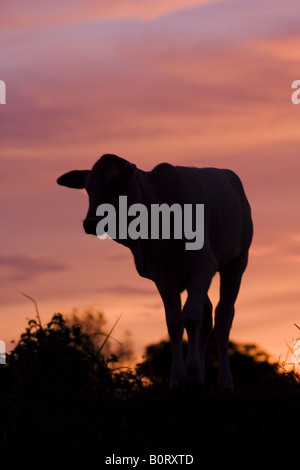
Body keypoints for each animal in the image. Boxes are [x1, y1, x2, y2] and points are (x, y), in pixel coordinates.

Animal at [56, 153, 253, 390]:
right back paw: (203, 376)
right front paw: (178, 379)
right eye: (87, 187)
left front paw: (192, 373)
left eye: (115, 183)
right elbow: (175, 324)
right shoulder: (164, 278)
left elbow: (191, 318)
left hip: (236, 264)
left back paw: (224, 381)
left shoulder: (203, 265)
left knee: (223, 316)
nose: (90, 223)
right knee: (206, 314)